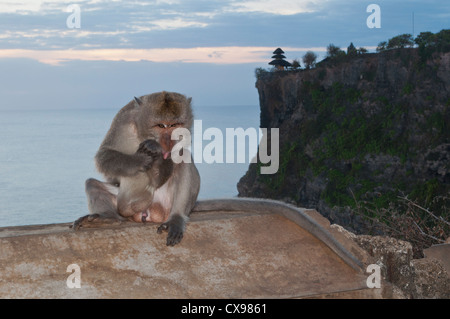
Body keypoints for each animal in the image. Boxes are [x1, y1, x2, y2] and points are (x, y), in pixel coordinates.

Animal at [72, 91, 199, 246]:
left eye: (175, 125)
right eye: (160, 126)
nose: (169, 141)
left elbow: (179, 155)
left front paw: (157, 157)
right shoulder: (123, 120)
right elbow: (104, 155)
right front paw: (141, 160)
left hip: (166, 206)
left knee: (184, 158)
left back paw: (176, 219)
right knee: (92, 183)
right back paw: (108, 217)